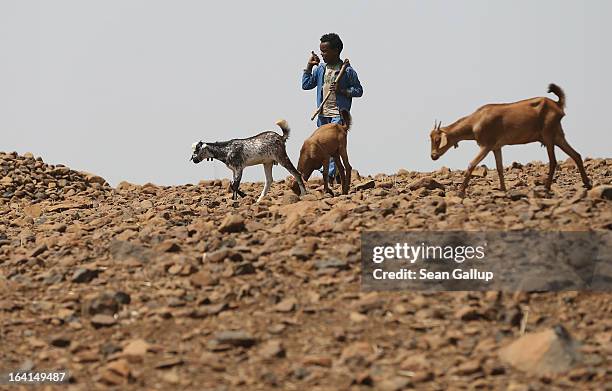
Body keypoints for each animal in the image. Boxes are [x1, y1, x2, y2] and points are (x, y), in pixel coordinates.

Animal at [430, 84, 592, 198]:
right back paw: (587, 183)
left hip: (548, 135)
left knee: (553, 161)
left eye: (437, 139)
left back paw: (546, 188)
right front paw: (503, 189)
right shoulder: (496, 147)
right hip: (558, 135)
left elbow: (471, 164)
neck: (476, 121)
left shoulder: (486, 145)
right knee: (576, 155)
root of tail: (557, 105)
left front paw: (460, 192)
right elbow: (500, 168)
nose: (433, 156)